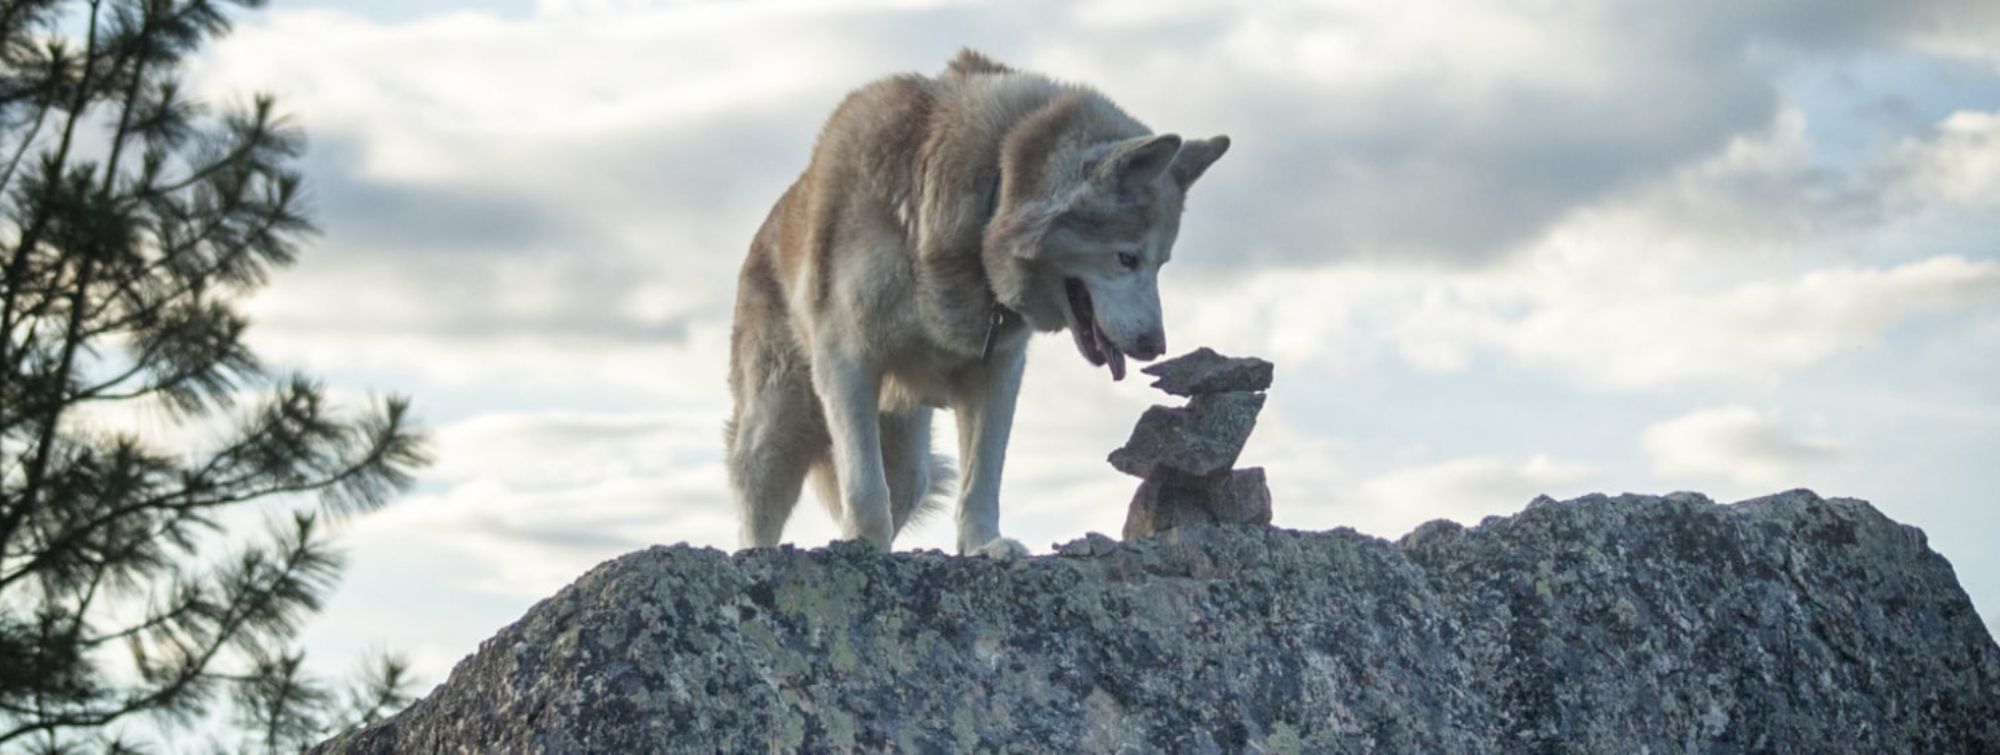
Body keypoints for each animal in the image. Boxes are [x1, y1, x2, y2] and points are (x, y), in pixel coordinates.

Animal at [725, 49, 1229, 557]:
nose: (1155, 346)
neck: (988, 193)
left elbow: (982, 479)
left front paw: (985, 545)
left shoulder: (997, 370)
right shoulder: (846, 363)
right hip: (777, 428)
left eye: (1161, 264)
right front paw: (864, 548)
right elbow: (865, 490)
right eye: (1127, 258)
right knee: (760, 509)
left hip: (910, 465)